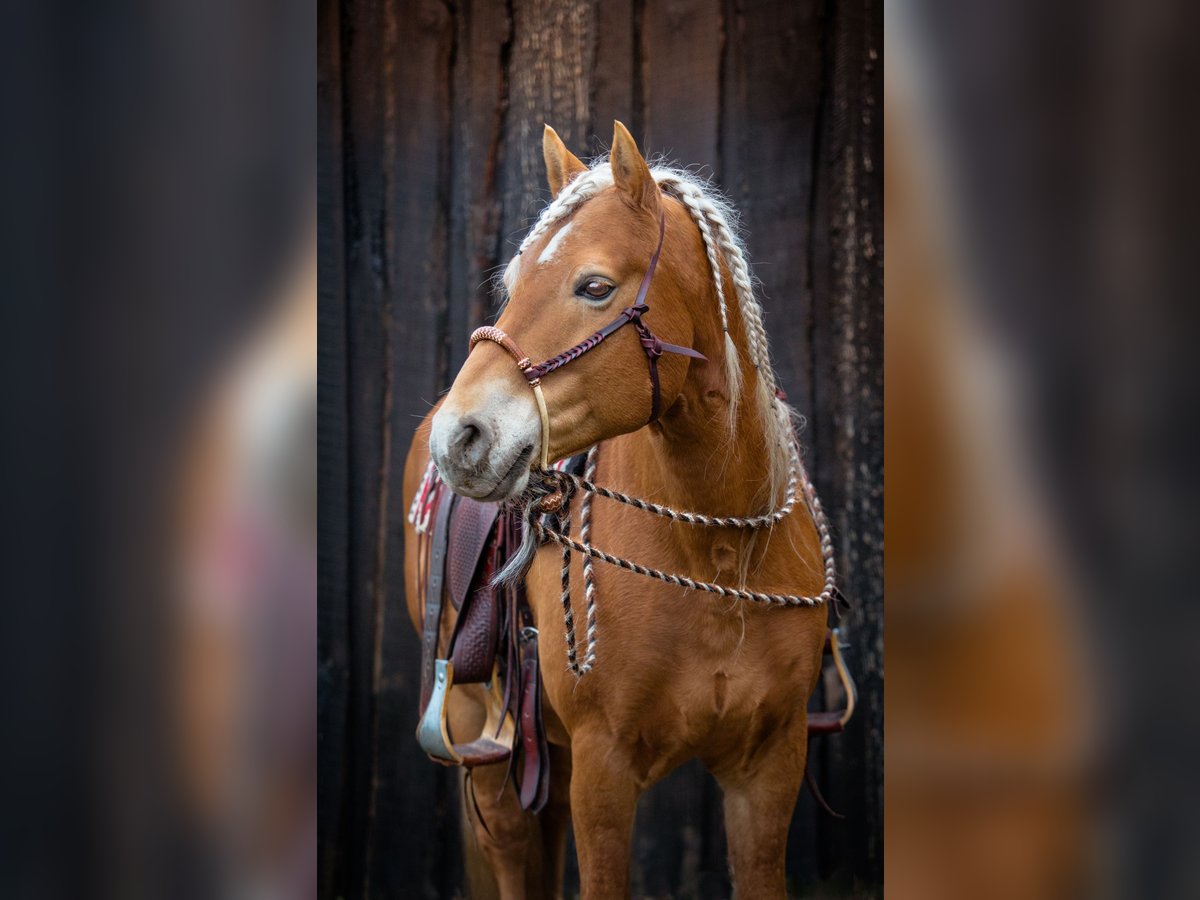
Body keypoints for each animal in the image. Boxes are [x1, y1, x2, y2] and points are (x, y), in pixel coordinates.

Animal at [403, 121, 838, 899]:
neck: (718, 554)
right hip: (481, 740)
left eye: (595, 287)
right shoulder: (603, 769)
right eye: (513, 284)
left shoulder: (770, 763)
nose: (464, 436)